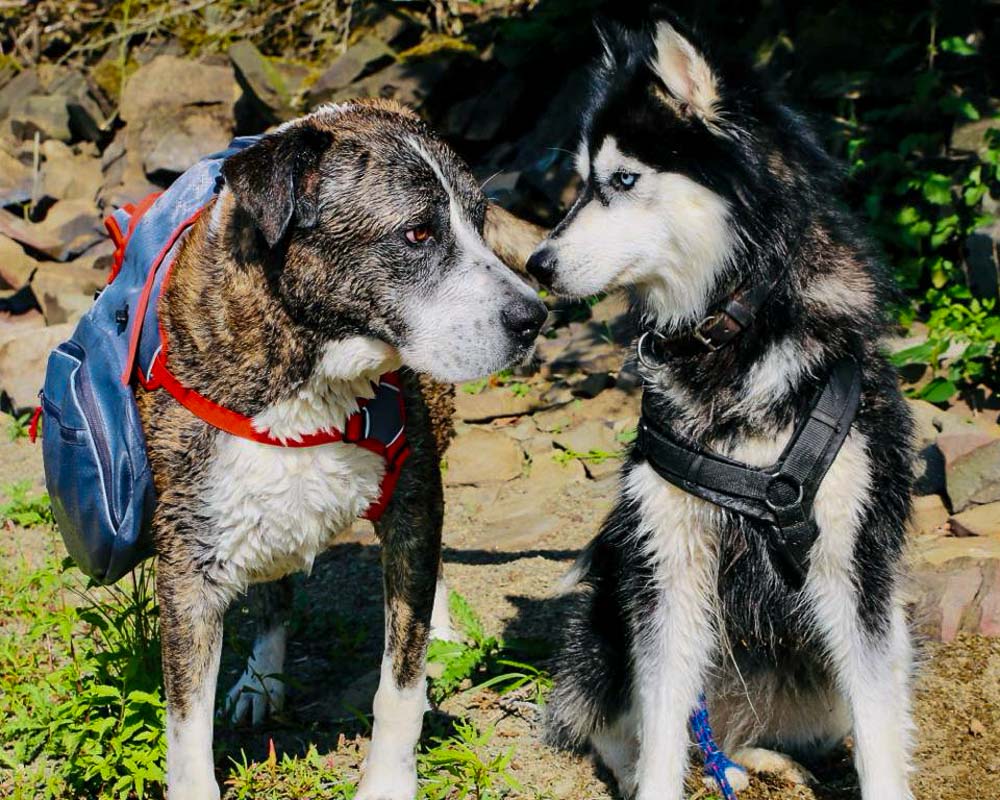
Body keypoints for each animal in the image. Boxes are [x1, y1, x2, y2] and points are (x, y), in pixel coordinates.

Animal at [528, 12, 916, 800]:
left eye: (622, 180)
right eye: (582, 183)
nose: (536, 266)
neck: (734, 329)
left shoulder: (855, 562)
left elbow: (879, 727)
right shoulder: (668, 562)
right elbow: (662, 727)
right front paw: (656, 781)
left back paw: (765, 760)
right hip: (605, 620)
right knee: (629, 728)